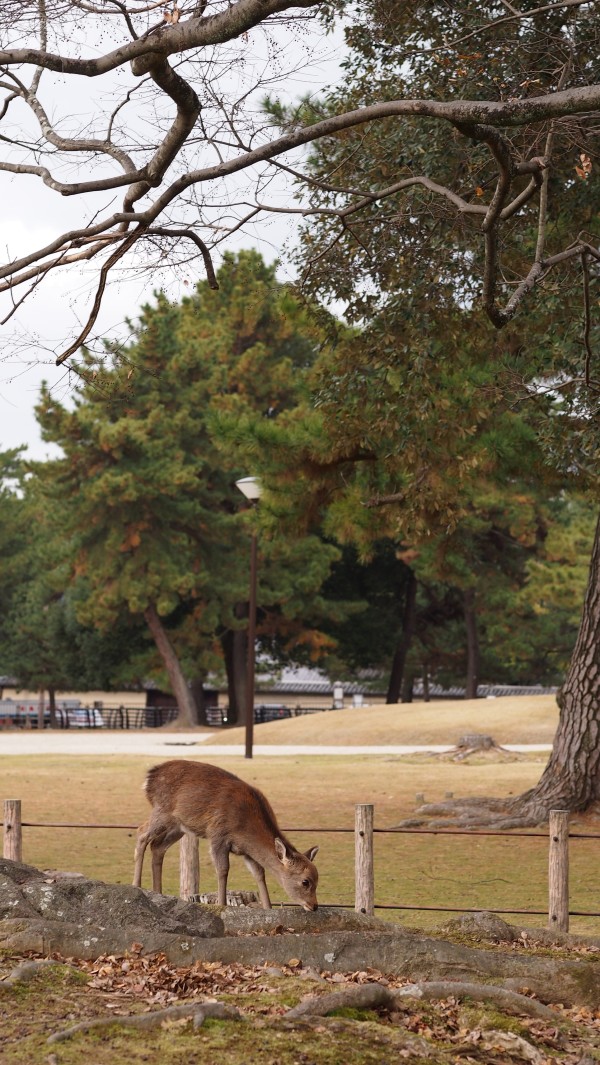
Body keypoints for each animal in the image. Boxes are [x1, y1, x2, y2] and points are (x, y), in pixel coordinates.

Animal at [131, 762, 319, 911]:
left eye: (317, 878)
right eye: (306, 881)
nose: (314, 906)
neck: (246, 825)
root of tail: (149, 778)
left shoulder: (246, 851)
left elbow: (259, 873)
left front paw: (268, 907)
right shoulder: (218, 835)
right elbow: (223, 870)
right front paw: (222, 905)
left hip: (180, 825)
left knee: (157, 845)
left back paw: (157, 892)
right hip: (162, 811)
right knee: (141, 833)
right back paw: (136, 885)